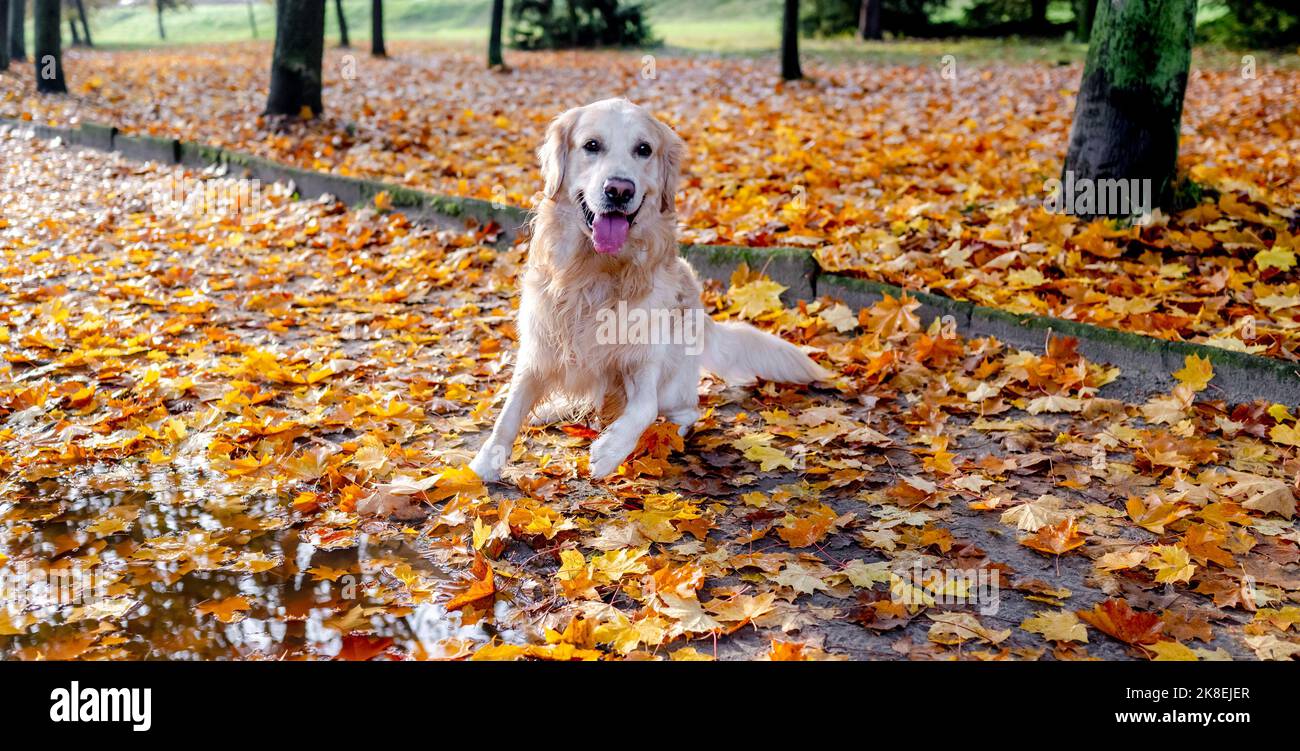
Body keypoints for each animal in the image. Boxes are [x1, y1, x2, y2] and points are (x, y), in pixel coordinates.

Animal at [473, 99, 826, 478]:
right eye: (592, 145)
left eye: (644, 149)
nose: (619, 189)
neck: (596, 272)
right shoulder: (537, 350)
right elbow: (508, 414)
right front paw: (483, 466)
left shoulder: (644, 359)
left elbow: (644, 408)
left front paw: (611, 450)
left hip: (675, 380)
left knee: (684, 410)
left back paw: (669, 433)